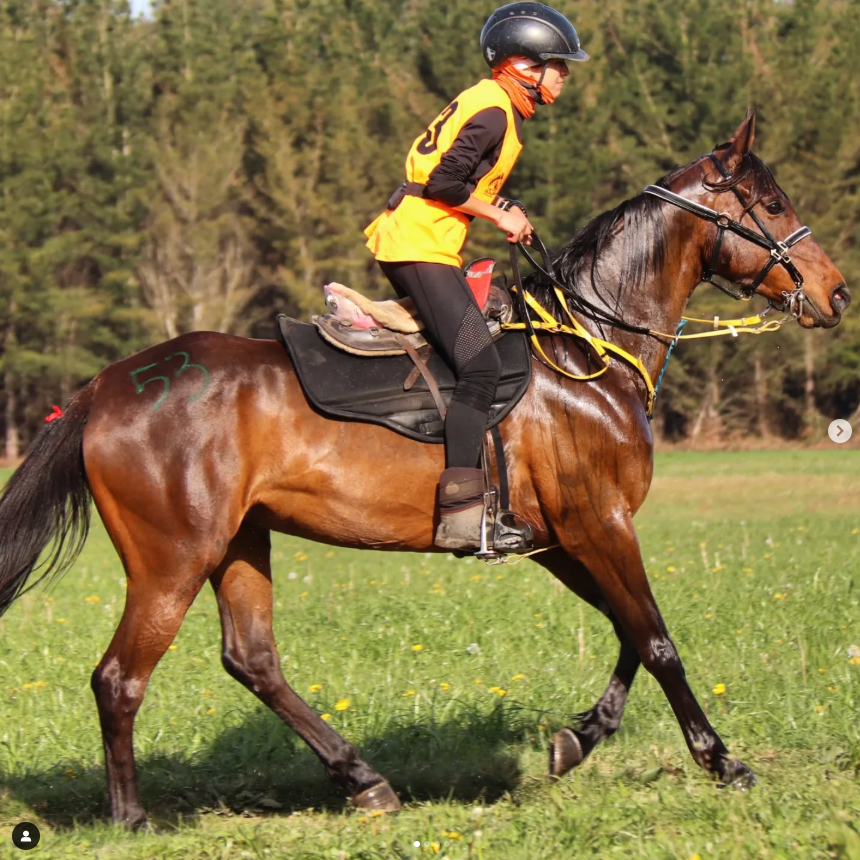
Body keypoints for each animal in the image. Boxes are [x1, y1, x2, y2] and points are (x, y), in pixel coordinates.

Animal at [0, 109, 848, 828]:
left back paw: (364, 779)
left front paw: (579, 738)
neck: (584, 350)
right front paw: (721, 761)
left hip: (238, 542)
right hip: (172, 558)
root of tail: (104, 388)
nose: (837, 292)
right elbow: (657, 639)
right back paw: (132, 818)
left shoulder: (562, 539)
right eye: (770, 202)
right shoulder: (598, 522)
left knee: (253, 659)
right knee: (119, 678)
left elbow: (628, 633)